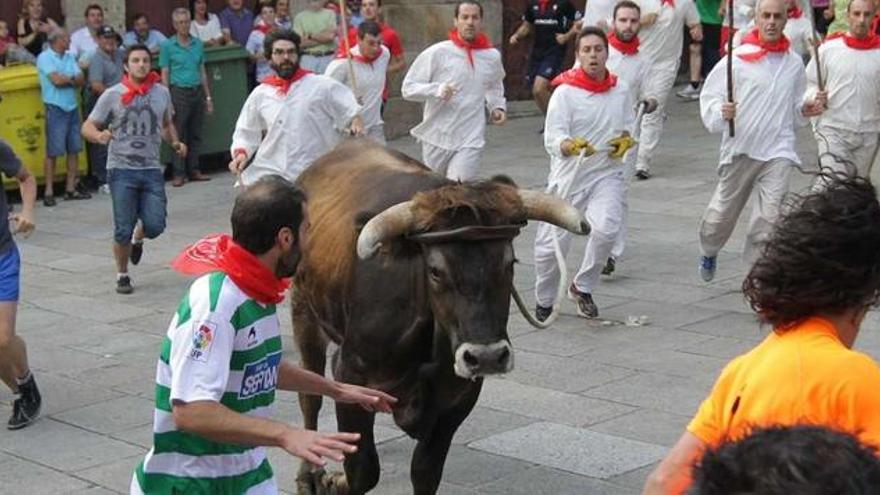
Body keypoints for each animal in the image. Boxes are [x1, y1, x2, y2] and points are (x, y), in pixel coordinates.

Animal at [292, 140, 588, 495]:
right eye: (435, 270)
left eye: (510, 262)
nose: (487, 357)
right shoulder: (350, 373)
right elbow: (363, 470)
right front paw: (334, 481)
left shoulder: (457, 399)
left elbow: (426, 471)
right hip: (304, 311)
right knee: (309, 395)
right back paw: (309, 475)